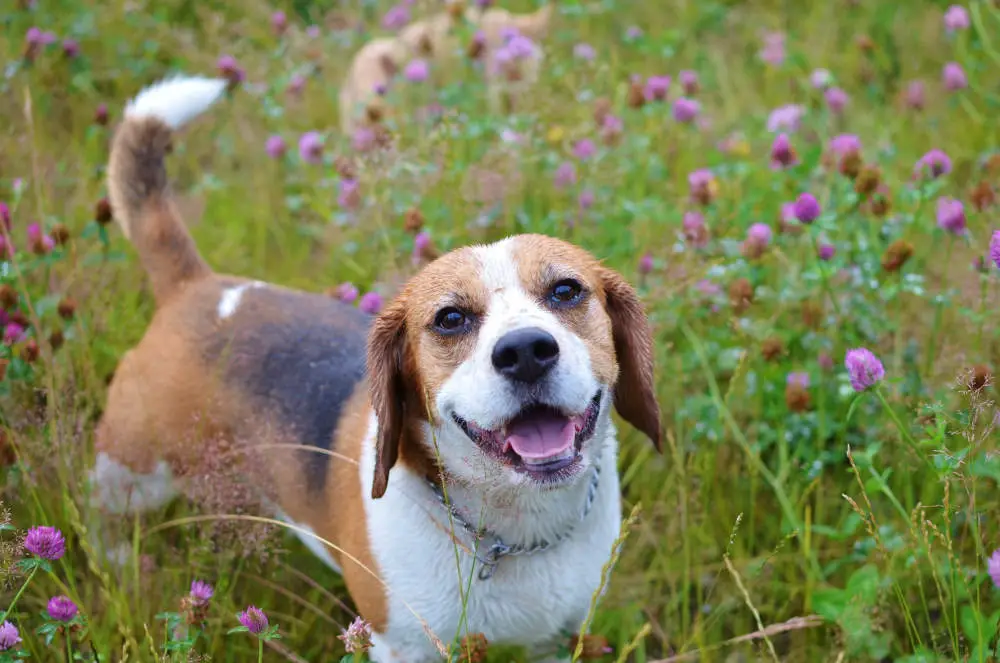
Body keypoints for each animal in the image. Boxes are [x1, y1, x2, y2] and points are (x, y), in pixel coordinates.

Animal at [90, 75, 660, 660]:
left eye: (566, 290)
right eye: (450, 318)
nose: (525, 351)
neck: (515, 526)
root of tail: (196, 287)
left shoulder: (556, 639)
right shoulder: (401, 645)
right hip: (133, 471)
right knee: (103, 522)